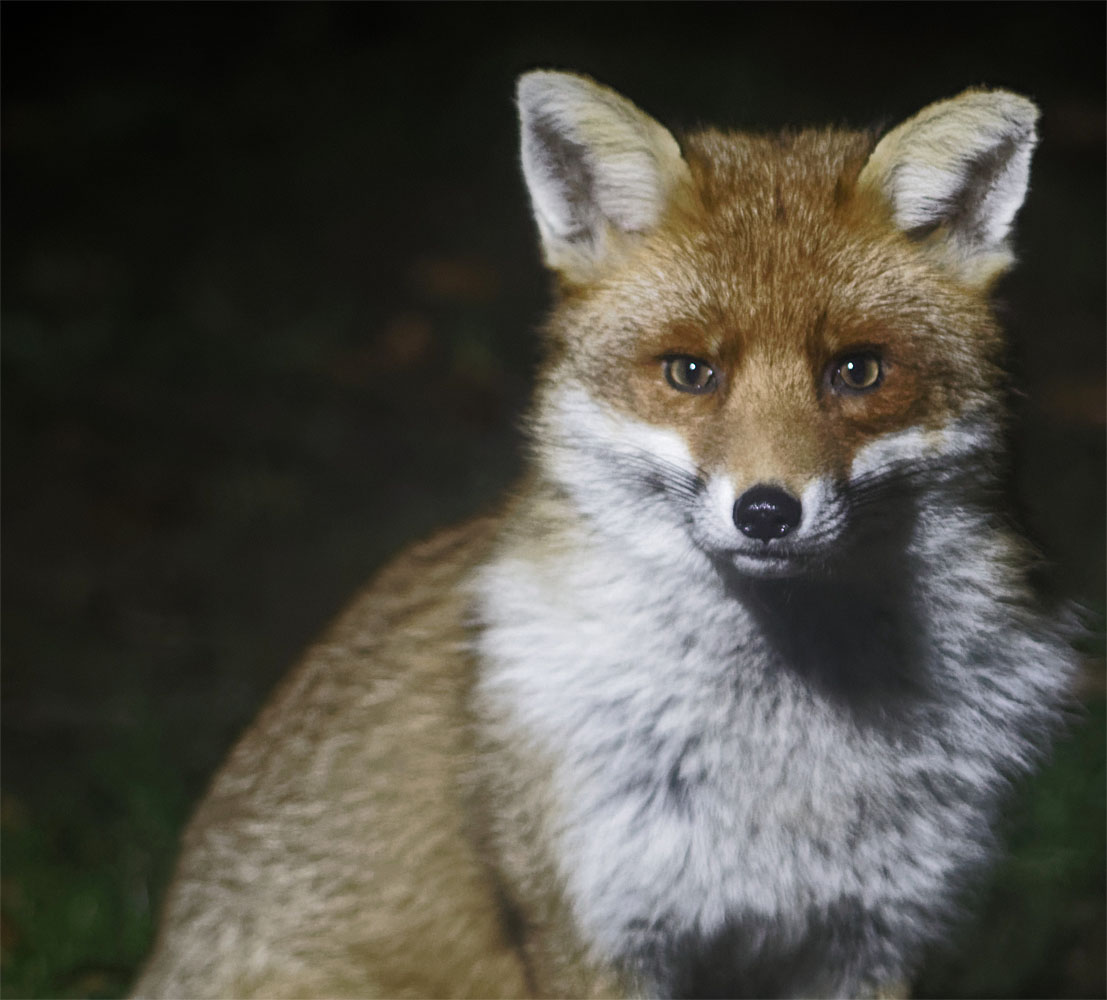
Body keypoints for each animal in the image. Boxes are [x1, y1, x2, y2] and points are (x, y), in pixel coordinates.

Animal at [133, 72, 1078, 999]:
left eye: (858, 370)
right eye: (690, 372)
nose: (766, 512)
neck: (786, 744)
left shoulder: (872, 933)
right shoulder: (593, 928)